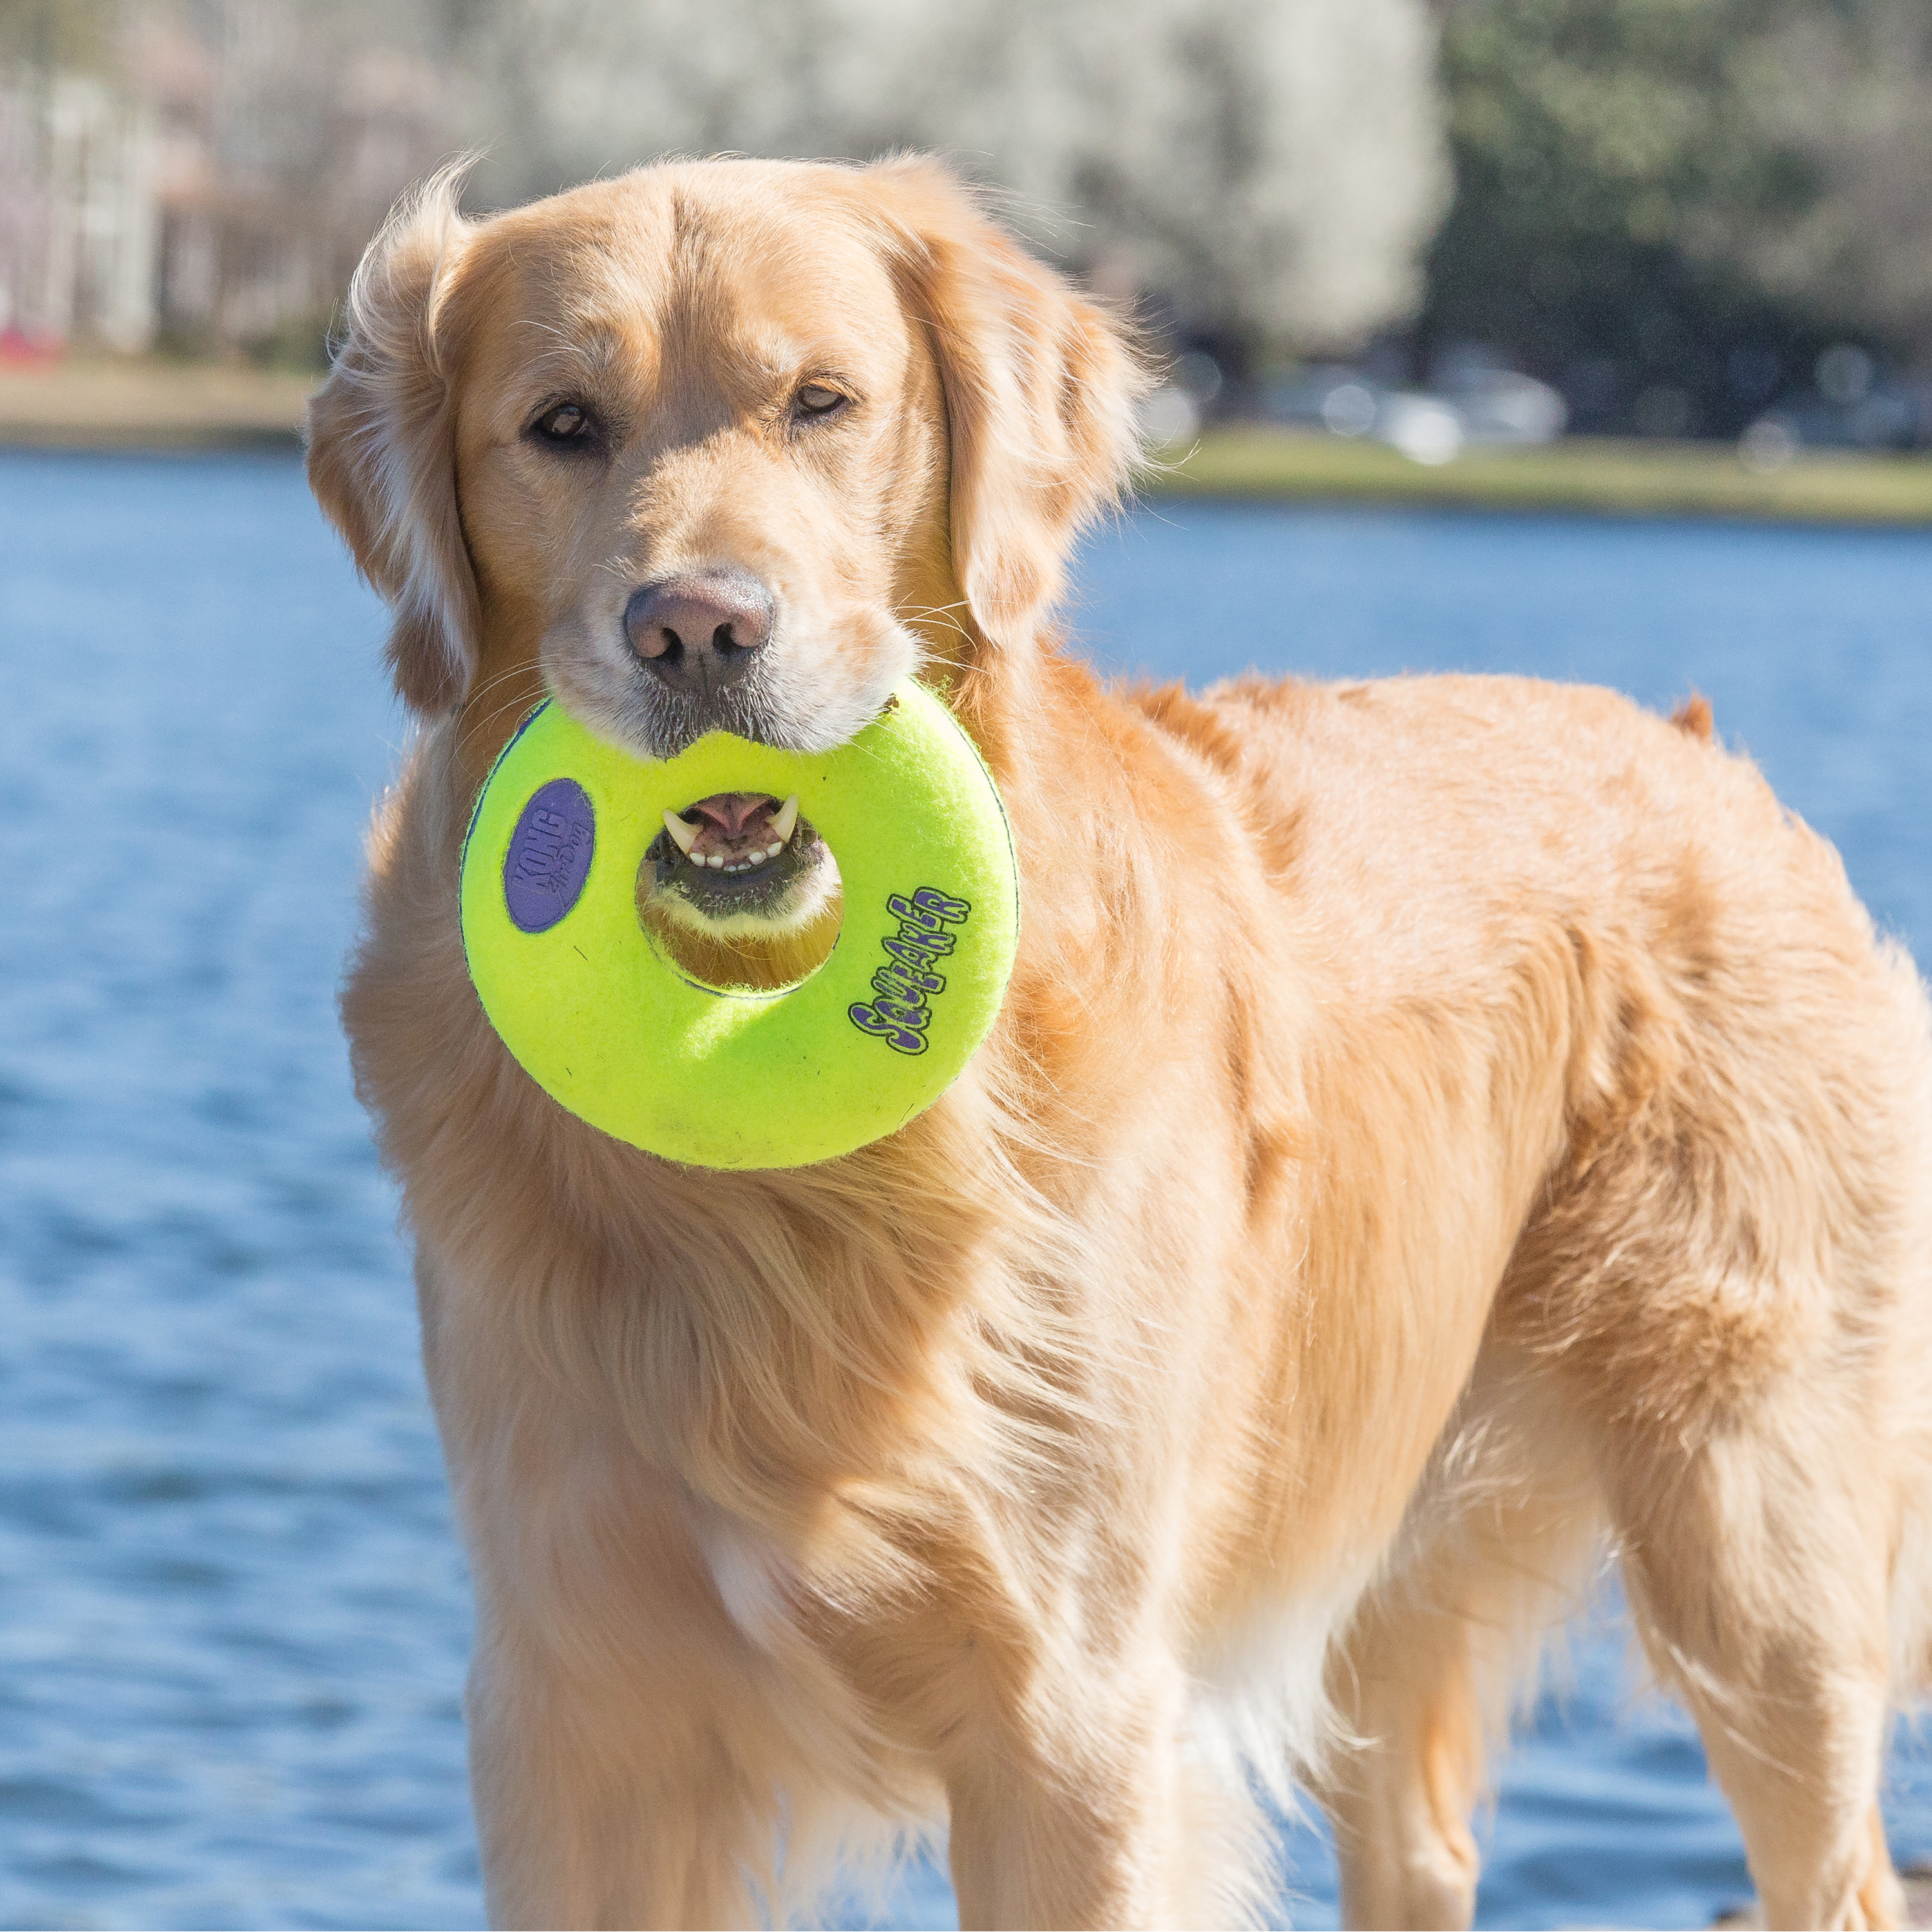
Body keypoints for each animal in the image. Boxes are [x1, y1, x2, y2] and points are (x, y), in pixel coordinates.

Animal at [301, 158, 1932, 1924]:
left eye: (823, 401)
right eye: (561, 425)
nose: (694, 630)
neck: (802, 1176)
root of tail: (1713, 762)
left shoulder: (1070, 1712)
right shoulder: (579, 1707)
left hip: (1757, 1545)